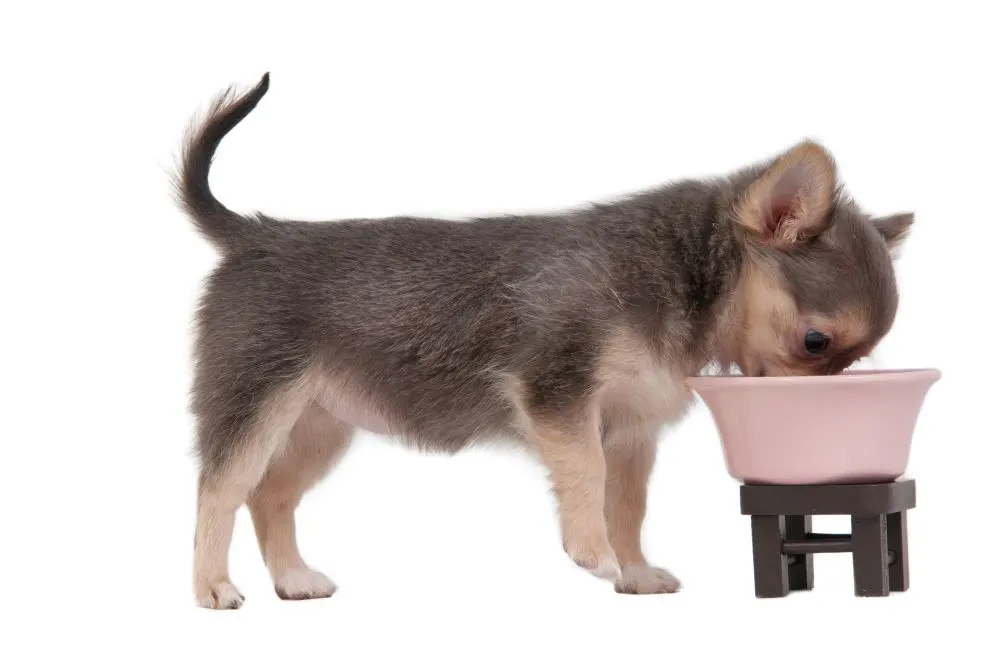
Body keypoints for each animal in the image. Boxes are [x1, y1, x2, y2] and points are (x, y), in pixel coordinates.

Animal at [174, 72, 916, 608]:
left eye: (853, 360)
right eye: (816, 342)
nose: (817, 407)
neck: (680, 274)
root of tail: (258, 233)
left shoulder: (631, 429)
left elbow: (627, 504)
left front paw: (634, 572)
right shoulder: (559, 393)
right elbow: (585, 473)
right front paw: (592, 553)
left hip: (320, 425)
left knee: (269, 496)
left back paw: (293, 579)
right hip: (255, 406)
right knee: (219, 490)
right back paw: (212, 587)